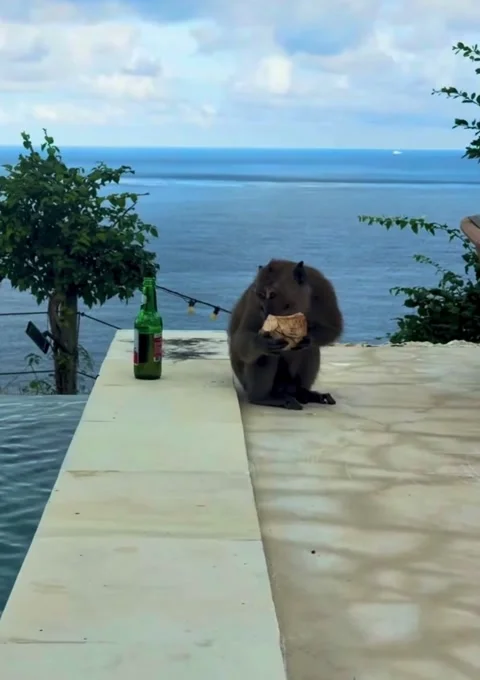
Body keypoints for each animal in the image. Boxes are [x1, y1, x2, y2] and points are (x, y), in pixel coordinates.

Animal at [227, 259, 343, 411]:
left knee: (309, 350)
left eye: (272, 294)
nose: (264, 309)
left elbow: (333, 328)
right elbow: (241, 339)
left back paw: (302, 392)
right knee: (264, 356)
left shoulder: (322, 288)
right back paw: (264, 398)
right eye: (260, 294)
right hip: (248, 383)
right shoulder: (254, 301)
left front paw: (307, 337)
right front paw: (262, 343)